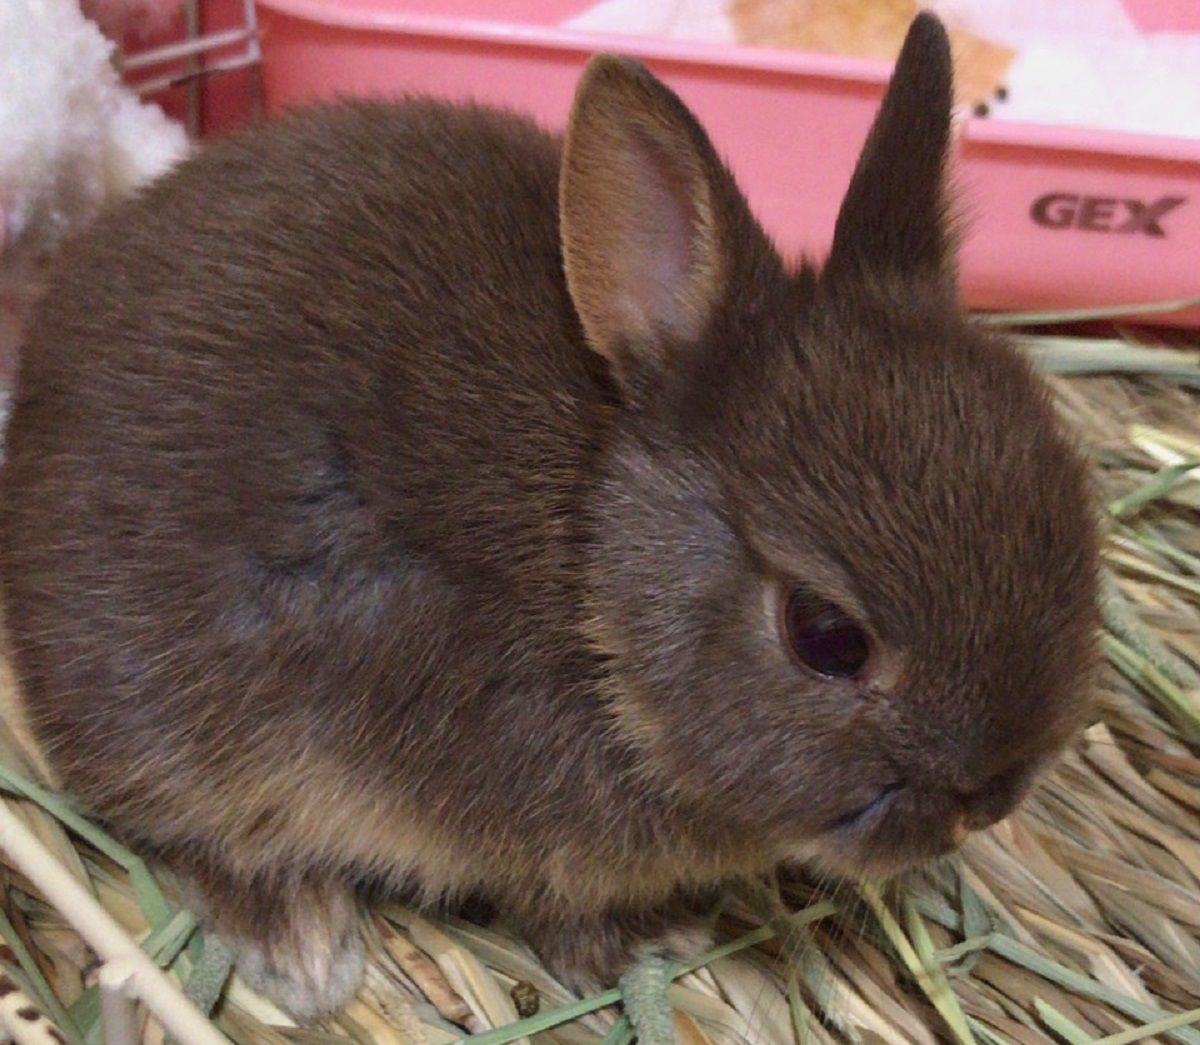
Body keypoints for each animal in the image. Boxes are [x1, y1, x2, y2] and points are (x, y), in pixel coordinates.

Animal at [0, 12, 1098, 1022]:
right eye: (827, 635)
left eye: (1071, 500)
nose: (992, 795)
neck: (593, 566)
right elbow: (557, 908)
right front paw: (649, 942)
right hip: (180, 721)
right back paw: (302, 945)